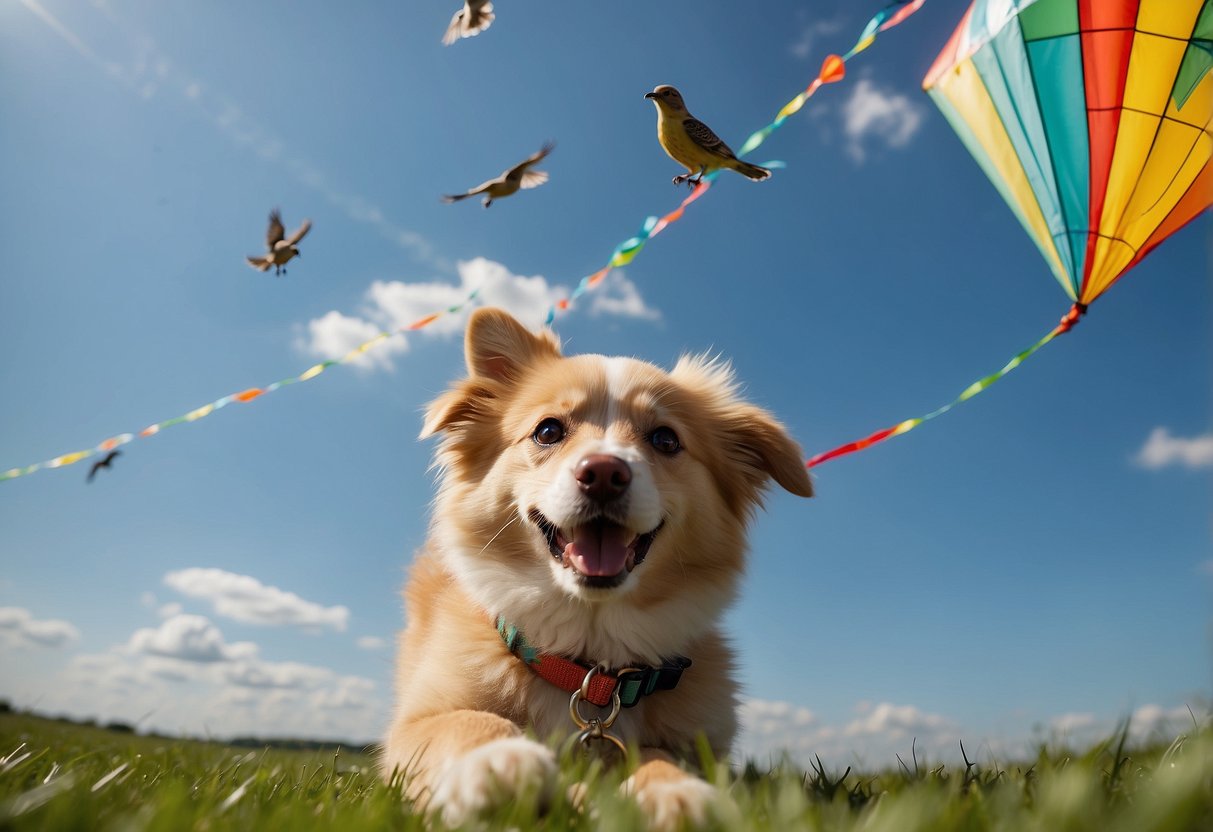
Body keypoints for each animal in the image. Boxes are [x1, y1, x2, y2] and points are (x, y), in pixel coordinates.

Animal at [383, 308, 810, 829]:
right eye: (548, 431)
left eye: (665, 439)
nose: (604, 473)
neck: (589, 662)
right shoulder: (414, 726)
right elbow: (463, 722)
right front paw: (496, 761)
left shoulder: (695, 744)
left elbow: (658, 755)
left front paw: (674, 791)